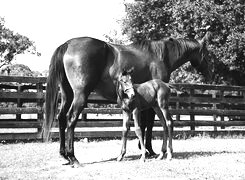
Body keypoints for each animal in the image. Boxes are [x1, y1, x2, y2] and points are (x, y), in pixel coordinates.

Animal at [43, 32, 212, 166]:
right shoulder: (152, 104)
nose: (210, 73)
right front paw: (148, 149)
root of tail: (67, 45)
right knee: (71, 119)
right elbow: (148, 124)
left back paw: (64, 155)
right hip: (80, 95)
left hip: (67, 95)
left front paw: (144, 149)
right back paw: (73, 157)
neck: (160, 56)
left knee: (61, 118)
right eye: (207, 54)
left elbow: (142, 125)